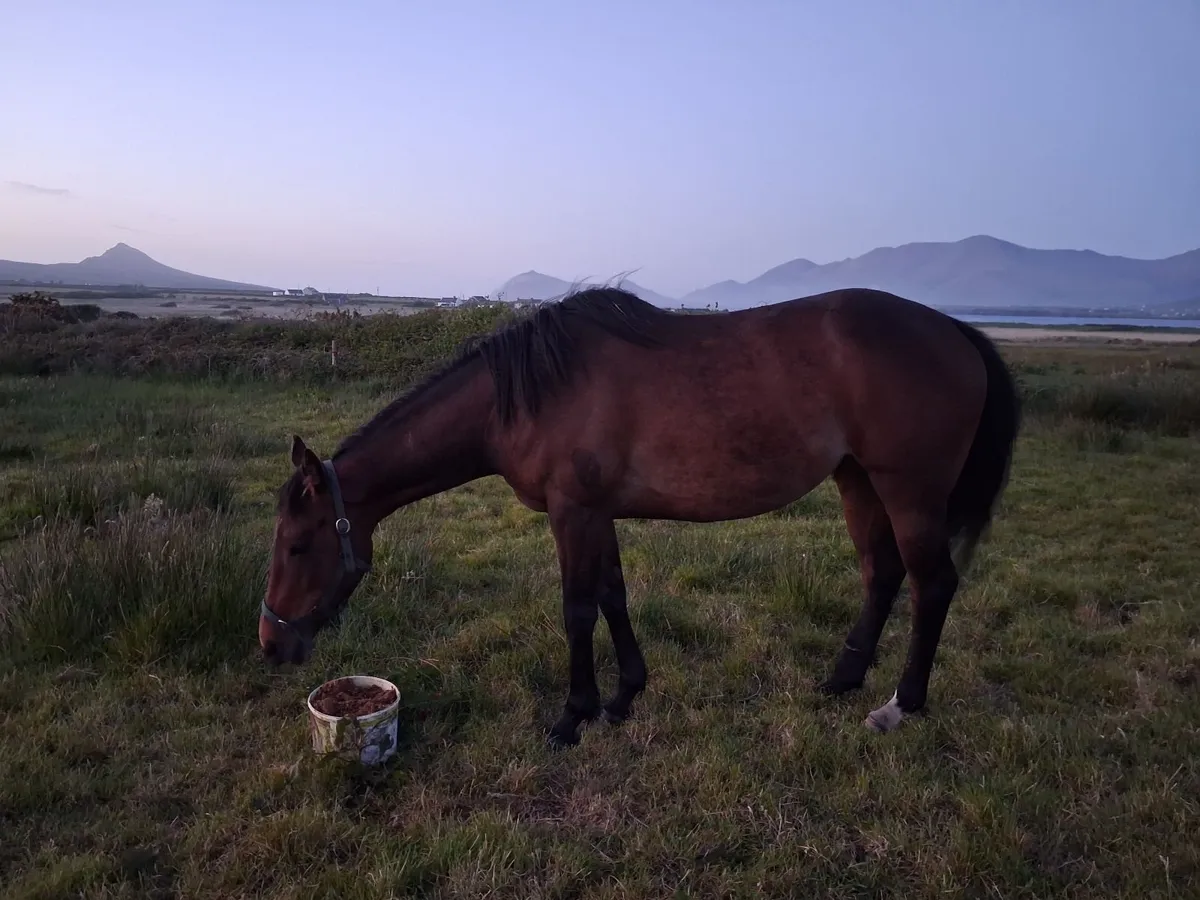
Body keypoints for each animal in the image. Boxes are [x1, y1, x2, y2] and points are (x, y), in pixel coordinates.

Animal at [260, 285, 1021, 749]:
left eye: (296, 546)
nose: (271, 644)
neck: (528, 395)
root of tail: (954, 331)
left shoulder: (572, 513)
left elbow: (577, 609)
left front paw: (572, 716)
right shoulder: (597, 513)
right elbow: (613, 597)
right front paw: (624, 696)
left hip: (909, 491)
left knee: (932, 584)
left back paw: (901, 703)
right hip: (857, 481)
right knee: (881, 574)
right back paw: (840, 680)